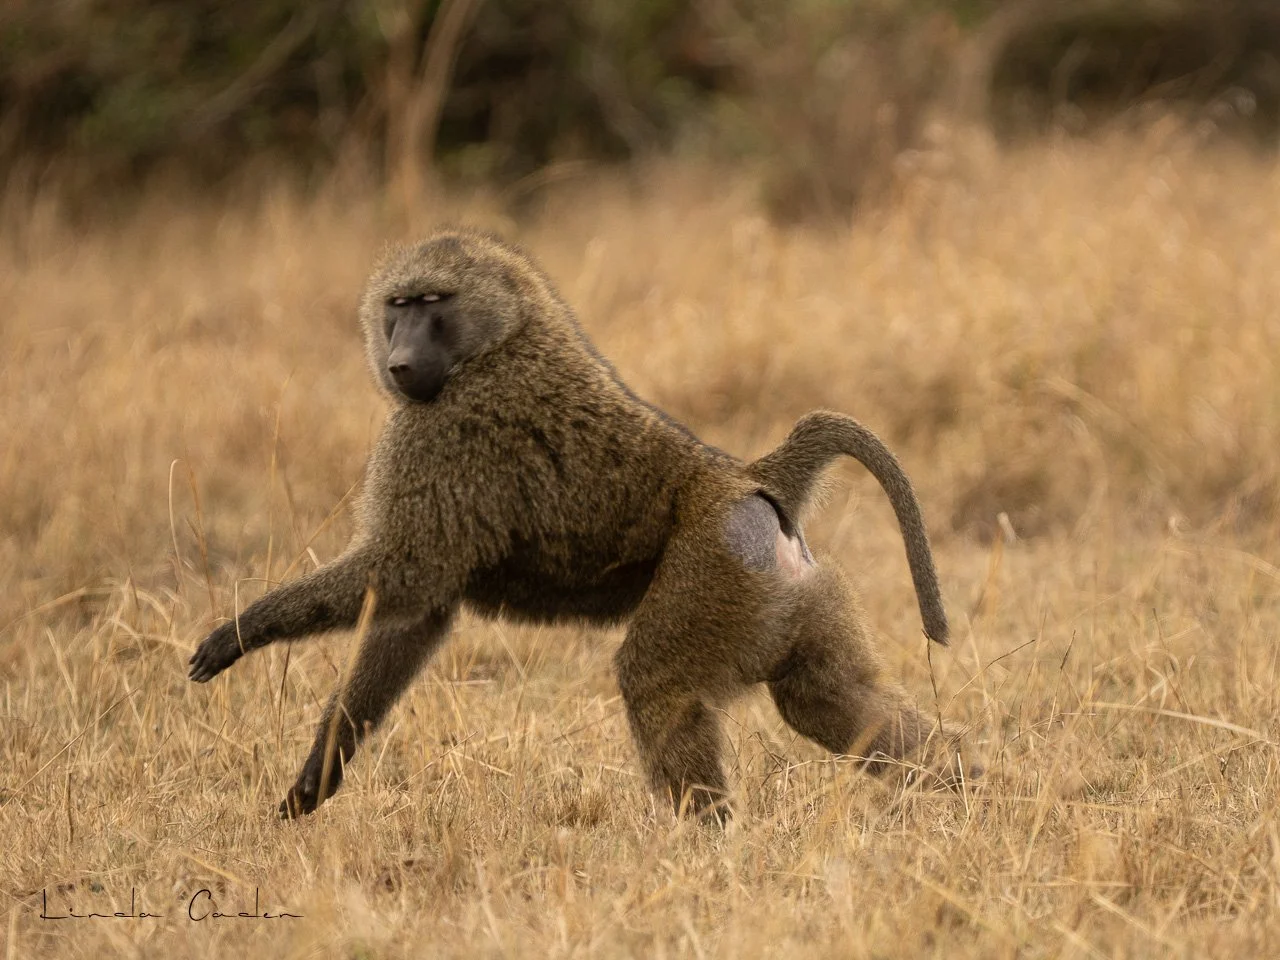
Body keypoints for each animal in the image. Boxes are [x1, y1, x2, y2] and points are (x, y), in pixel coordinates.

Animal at [188, 228, 970, 821]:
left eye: (433, 304)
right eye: (397, 305)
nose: (401, 360)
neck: (503, 337)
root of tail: (747, 477)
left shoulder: (438, 433)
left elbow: (405, 576)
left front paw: (238, 632)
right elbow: (415, 614)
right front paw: (316, 777)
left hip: (716, 572)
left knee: (657, 681)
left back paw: (708, 850)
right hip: (783, 591)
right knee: (829, 699)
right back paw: (970, 789)